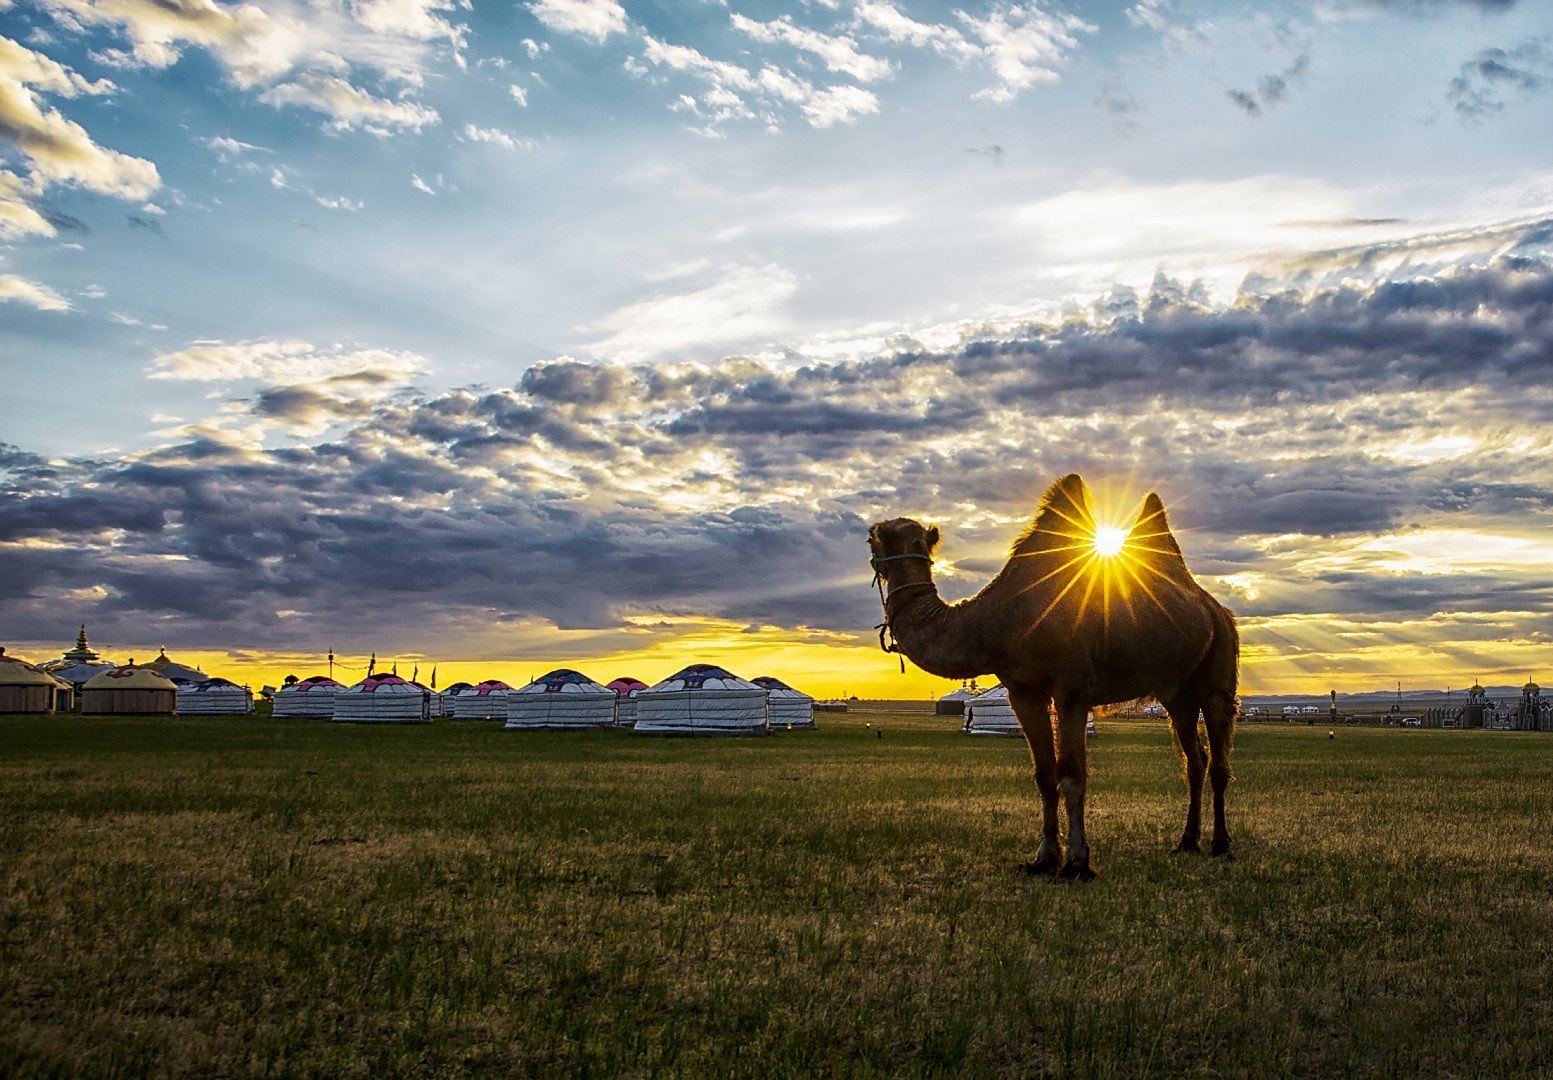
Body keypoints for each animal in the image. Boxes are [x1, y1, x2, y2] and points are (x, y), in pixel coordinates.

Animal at [869, 478, 1242, 882]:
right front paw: (1044, 858)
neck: (997, 619)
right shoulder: (1023, 691)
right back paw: (1186, 841)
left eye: (875, 538)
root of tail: (1215, 610)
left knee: (1218, 758)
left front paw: (1077, 862)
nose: (881, 538)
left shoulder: (1072, 689)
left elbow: (1073, 775)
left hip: (1219, 667)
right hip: (1176, 691)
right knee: (1194, 759)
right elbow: (1044, 775)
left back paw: (1221, 844)